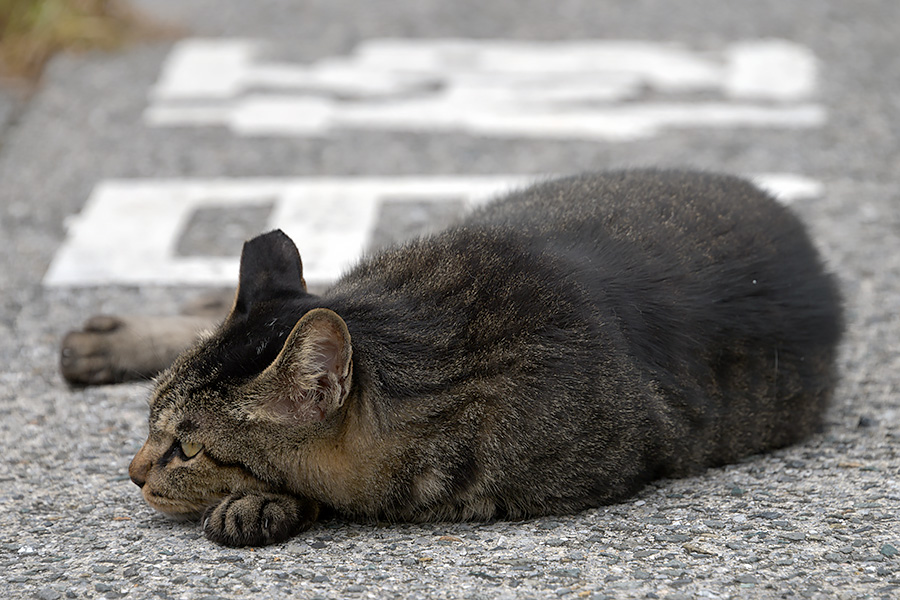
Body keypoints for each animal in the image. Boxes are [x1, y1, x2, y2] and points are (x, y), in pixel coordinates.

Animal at [63, 170, 844, 548]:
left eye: (187, 449)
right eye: (150, 426)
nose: (132, 472)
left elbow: (336, 489)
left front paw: (260, 502)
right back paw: (104, 339)